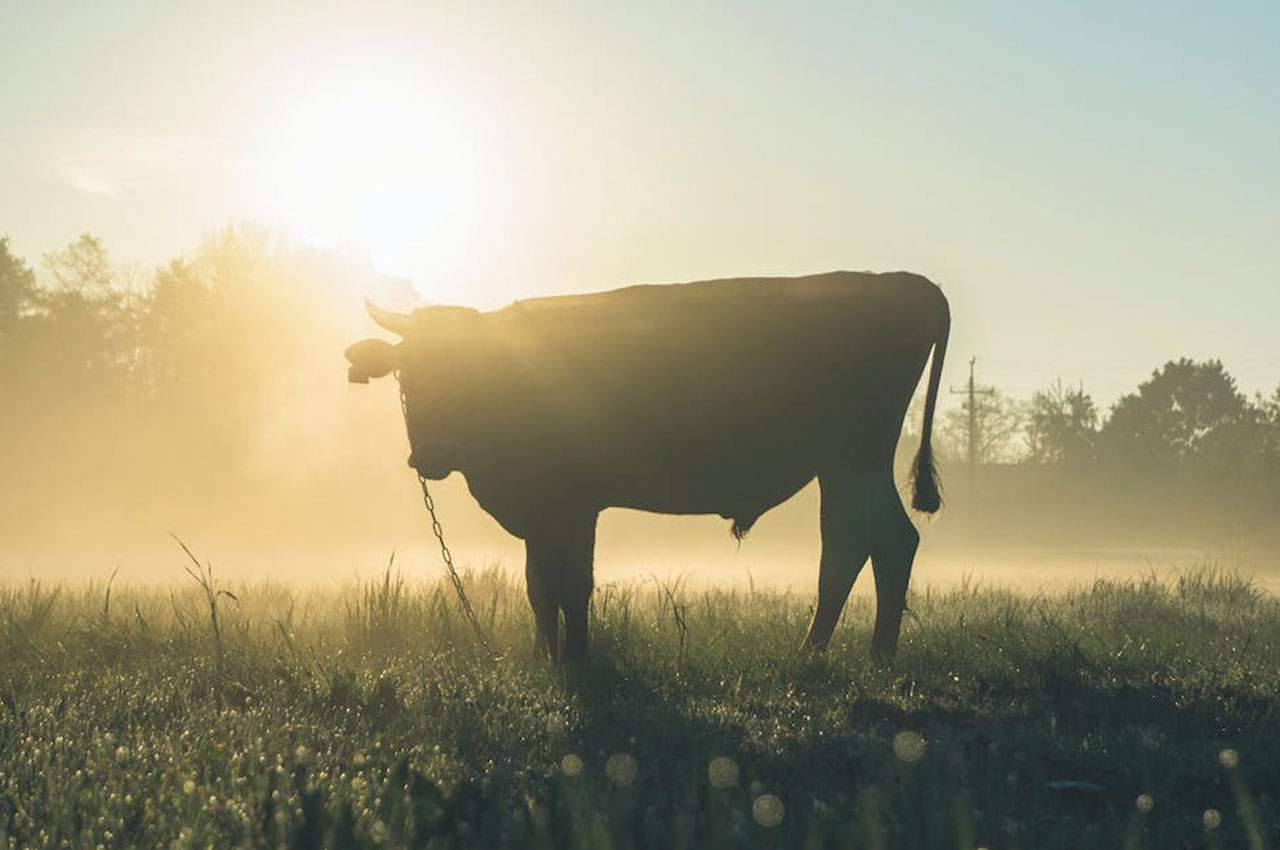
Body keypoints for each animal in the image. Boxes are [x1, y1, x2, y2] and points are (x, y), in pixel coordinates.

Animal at [345, 272, 947, 665]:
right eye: (407, 372)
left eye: (468, 368)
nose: (433, 452)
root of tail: (909, 283)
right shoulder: (540, 513)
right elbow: (538, 586)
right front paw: (544, 657)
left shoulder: (573, 506)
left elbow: (572, 584)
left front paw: (578, 660)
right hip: (844, 466)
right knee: (859, 544)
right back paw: (837, 652)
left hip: (855, 457)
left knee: (875, 543)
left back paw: (857, 656)